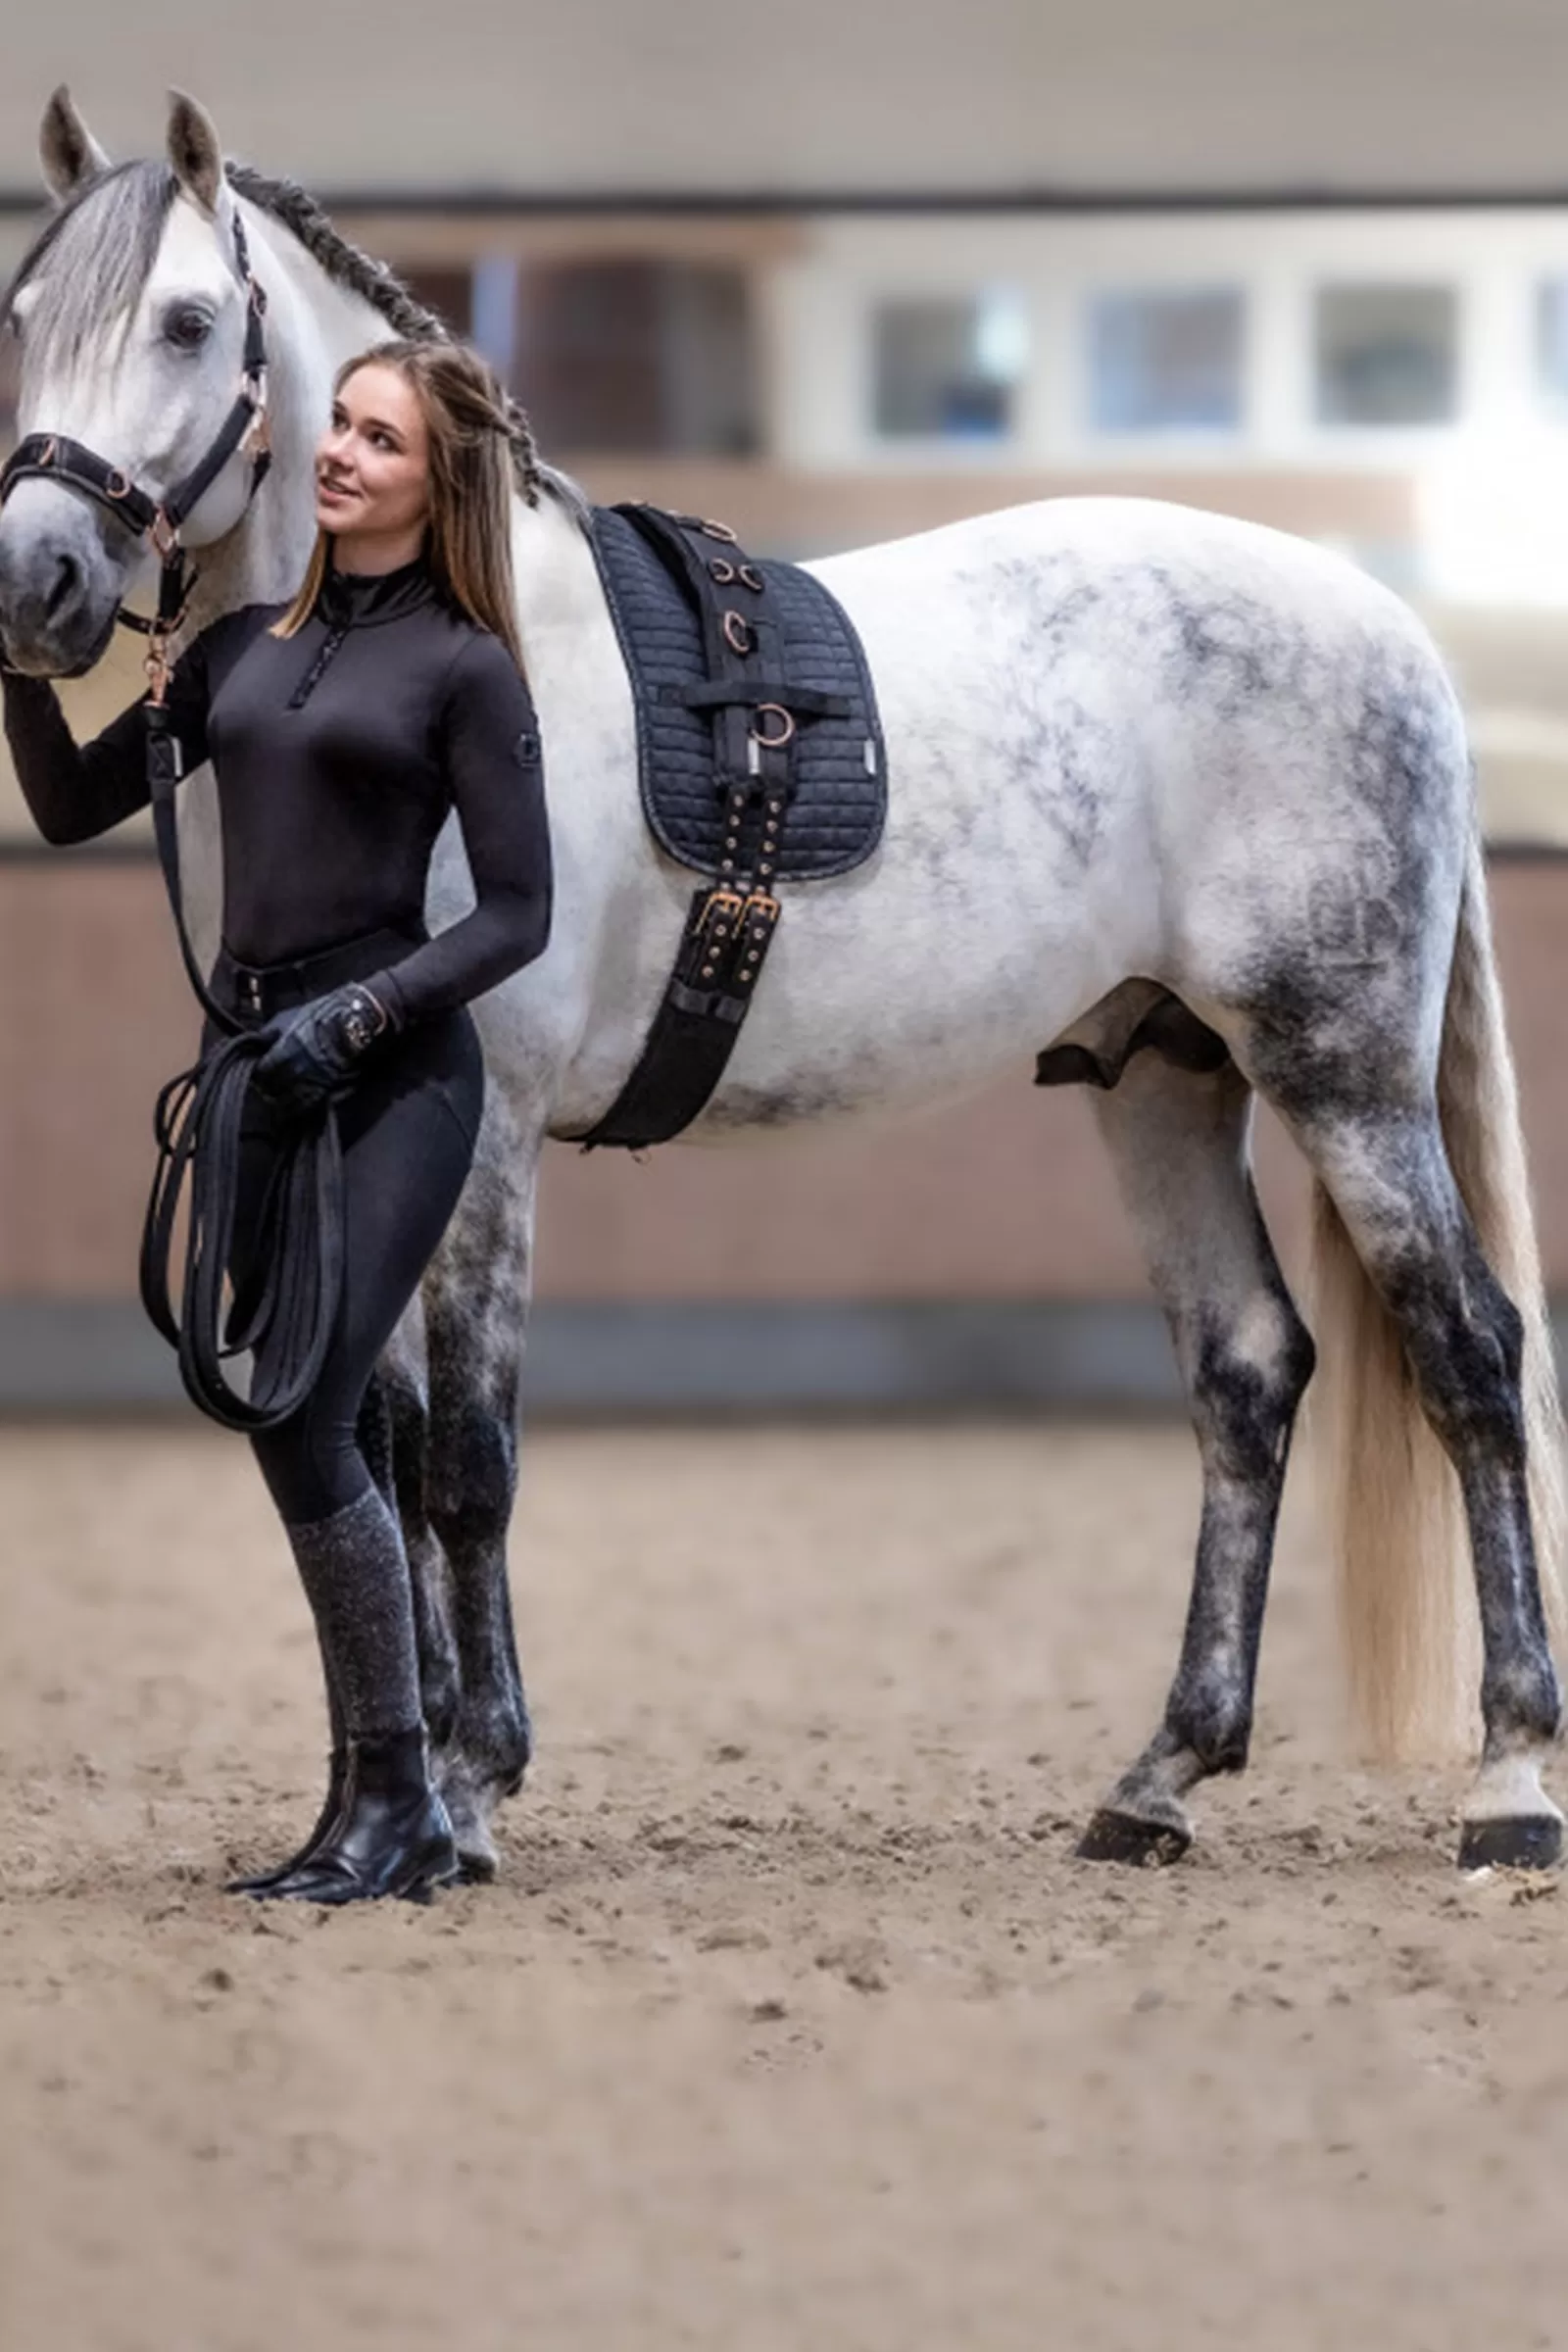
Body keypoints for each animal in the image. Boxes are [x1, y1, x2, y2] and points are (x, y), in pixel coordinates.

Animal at [6, 91, 1560, 1882]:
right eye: (23, 317)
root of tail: (1392, 629)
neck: (451, 619)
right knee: (1245, 1373)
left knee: (1471, 1358)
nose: (36, 584)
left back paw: (1510, 1784)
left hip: (1342, 1071)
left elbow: (468, 1462)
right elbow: (377, 1449)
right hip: (1167, 1074)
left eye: (190, 321)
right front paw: (409, 1802)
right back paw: (1156, 1782)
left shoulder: (488, 1134)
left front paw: (469, 1792)